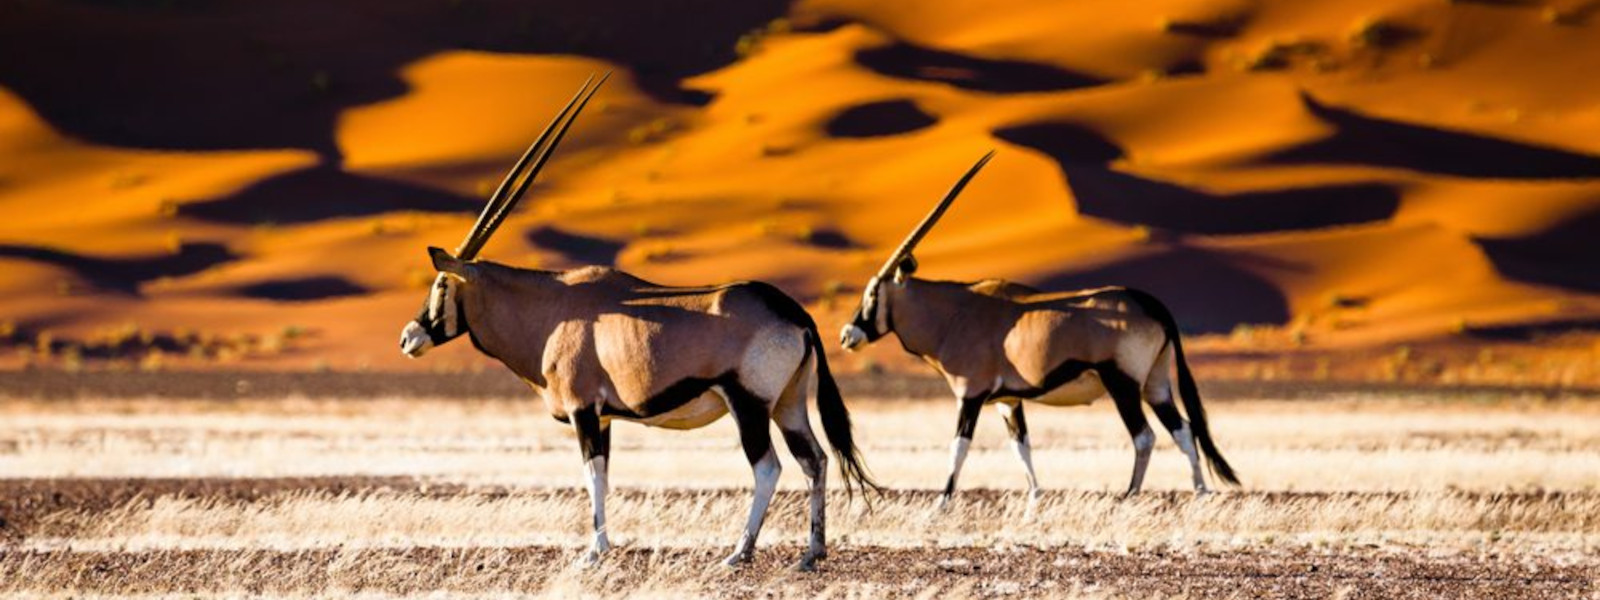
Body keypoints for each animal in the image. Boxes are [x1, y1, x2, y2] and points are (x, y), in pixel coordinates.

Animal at [400, 72, 876, 569]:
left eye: (440, 285)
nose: (408, 338)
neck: (551, 310)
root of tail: (795, 313)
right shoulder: (605, 417)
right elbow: (605, 477)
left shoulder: (584, 411)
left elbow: (593, 477)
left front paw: (594, 552)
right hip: (788, 404)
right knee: (815, 460)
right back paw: (812, 552)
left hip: (749, 404)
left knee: (768, 466)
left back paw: (738, 552)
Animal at [838, 151, 1235, 508]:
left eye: (872, 293)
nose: (846, 336)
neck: (953, 314)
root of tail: (1150, 303)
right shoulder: (1008, 401)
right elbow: (1021, 448)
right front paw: (1034, 500)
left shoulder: (970, 396)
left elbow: (958, 448)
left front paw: (942, 504)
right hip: (1156, 384)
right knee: (1183, 430)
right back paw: (1201, 494)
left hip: (1122, 383)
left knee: (1145, 437)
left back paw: (1130, 496)